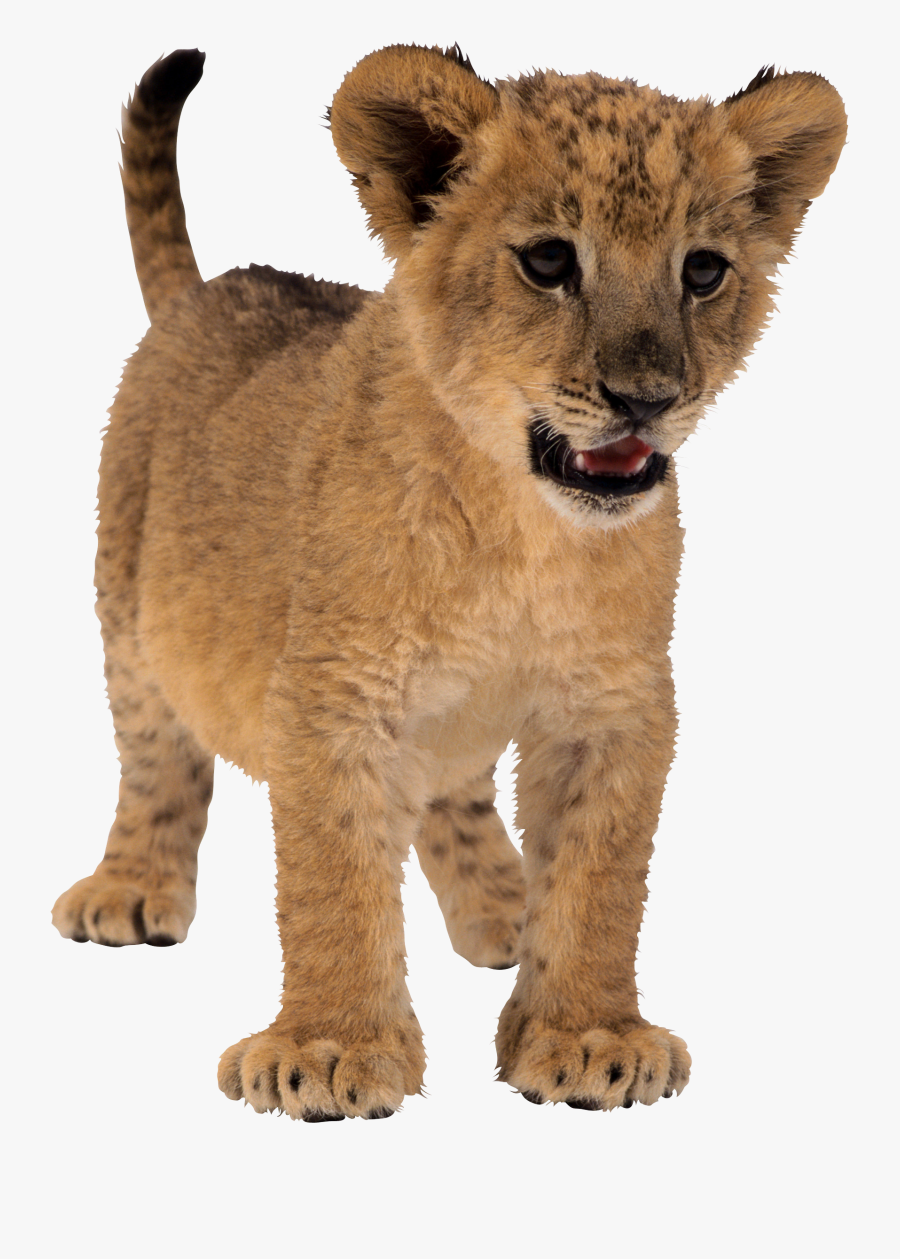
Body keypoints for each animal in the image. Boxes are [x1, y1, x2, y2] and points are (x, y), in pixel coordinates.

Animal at [51, 45, 846, 1120]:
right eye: (549, 262)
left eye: (703, 270)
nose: (648, 399)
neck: (524, 533)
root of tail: (211, 289)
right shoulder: (330, 694)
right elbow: (332, 876)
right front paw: (330, 1048)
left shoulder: (618, 702)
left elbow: (601, 876)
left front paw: (587, 1034)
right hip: (126, 604)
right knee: (154, 753)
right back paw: (130, 887)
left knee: (454, 793)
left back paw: (505, 911)